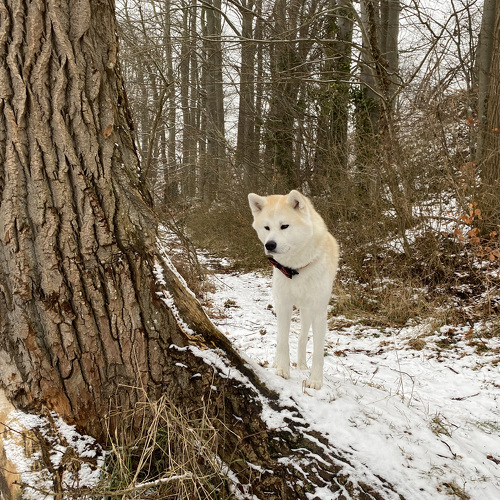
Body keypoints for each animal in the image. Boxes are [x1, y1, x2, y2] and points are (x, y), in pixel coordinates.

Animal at [247, 189, 338, 388]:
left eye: (284, 226)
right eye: (267, 228)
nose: (269, 245)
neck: (296, 269)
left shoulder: (319, 311)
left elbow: (318, 351)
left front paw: (315, 380)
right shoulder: (283, 305)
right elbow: (283, 341)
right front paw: (282, 369)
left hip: (307, 312)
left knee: (303, 338)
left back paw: (302, 365)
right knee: (282, 336)